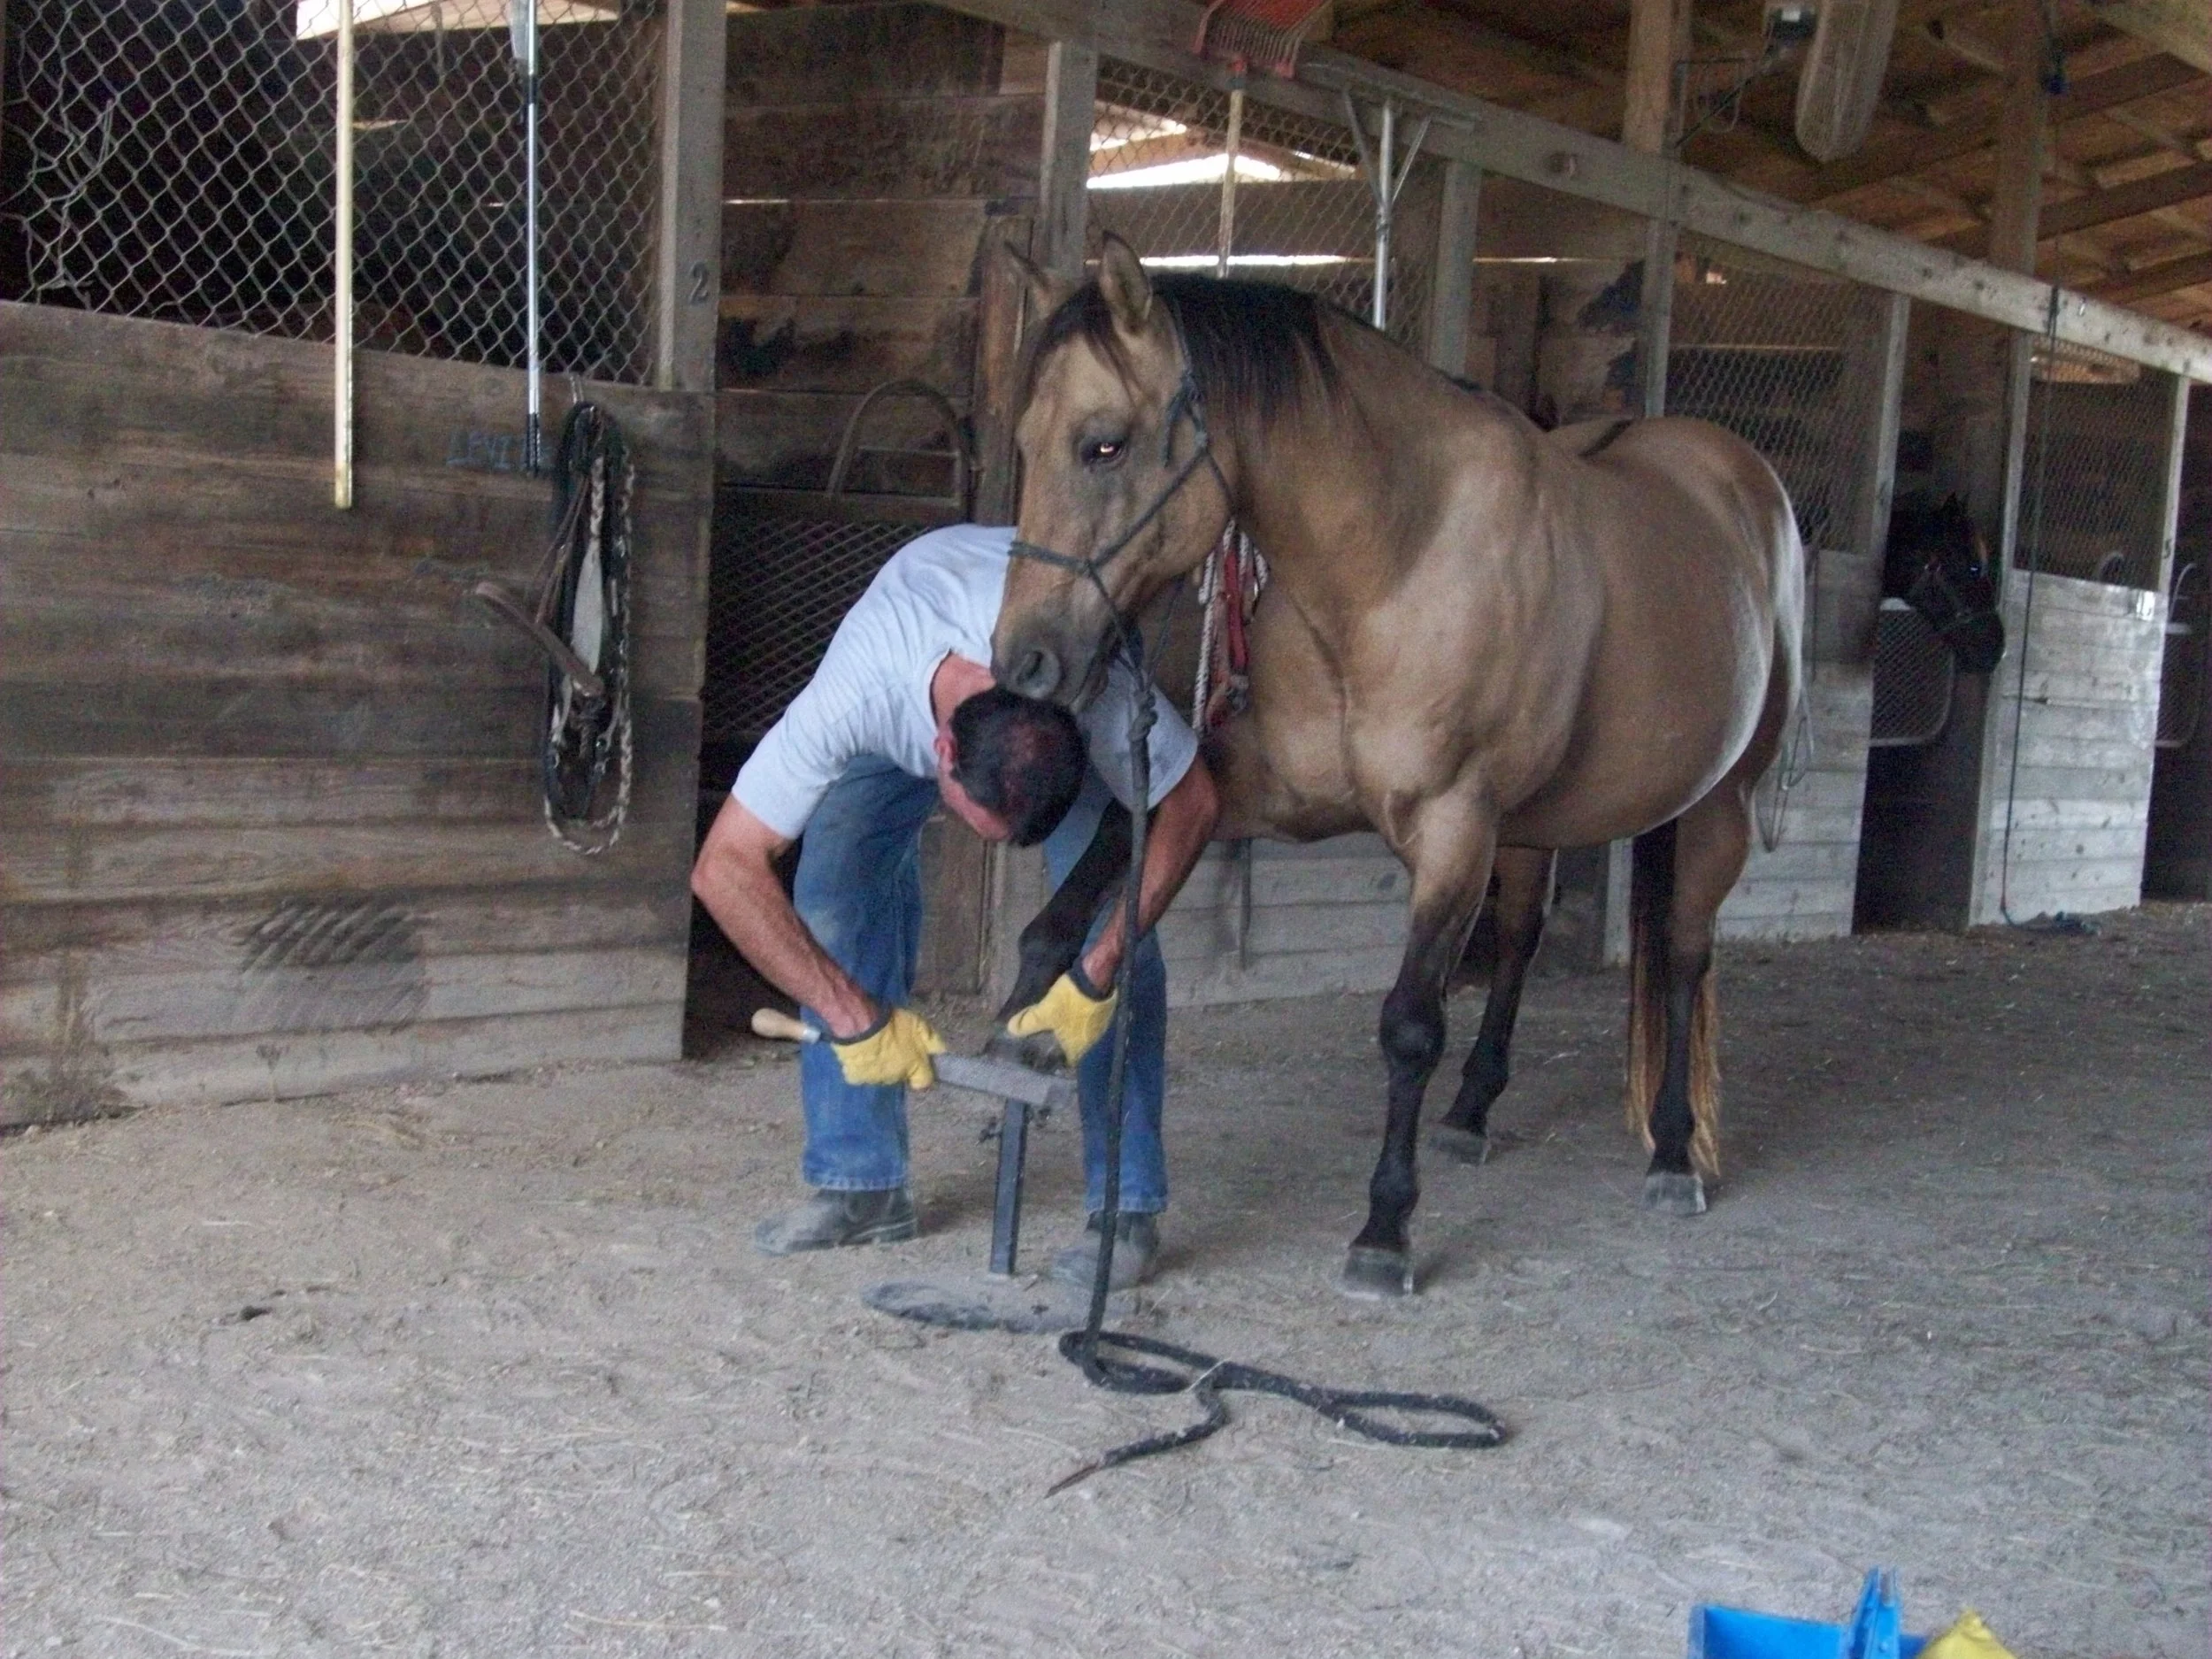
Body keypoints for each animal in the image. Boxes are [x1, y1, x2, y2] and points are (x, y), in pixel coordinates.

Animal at [992, 238, 1804, 1299]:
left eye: (1103, 445)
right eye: (1025, 441)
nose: (1024, 660)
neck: (1395, 560)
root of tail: (1743, 483)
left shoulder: (1454, 826)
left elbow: (1410, 1024)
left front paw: (1384, 1227)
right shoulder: (1245, 792)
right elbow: (1061, 922)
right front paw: (1011, 1040)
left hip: (1717, 808)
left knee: (1679, 956)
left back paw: (1672, 1153)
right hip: (1538, 825)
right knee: (1523, 938)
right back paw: (1471, 1111)